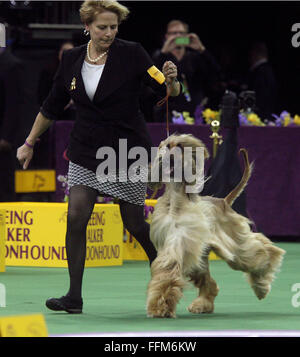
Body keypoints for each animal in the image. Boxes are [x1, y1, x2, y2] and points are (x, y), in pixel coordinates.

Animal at [146, 134, 284, 318]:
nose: (170, 158)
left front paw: (160, 306)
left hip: (234, 242)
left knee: (260, 251)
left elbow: (169, 267)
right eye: (167, 146)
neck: (176, 199)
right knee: (209, 283)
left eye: (180, 146)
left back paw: (261, 286)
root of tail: (224, 201)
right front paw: (161, 306)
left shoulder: (180, 239)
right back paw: (202, 305)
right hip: (201, 258)